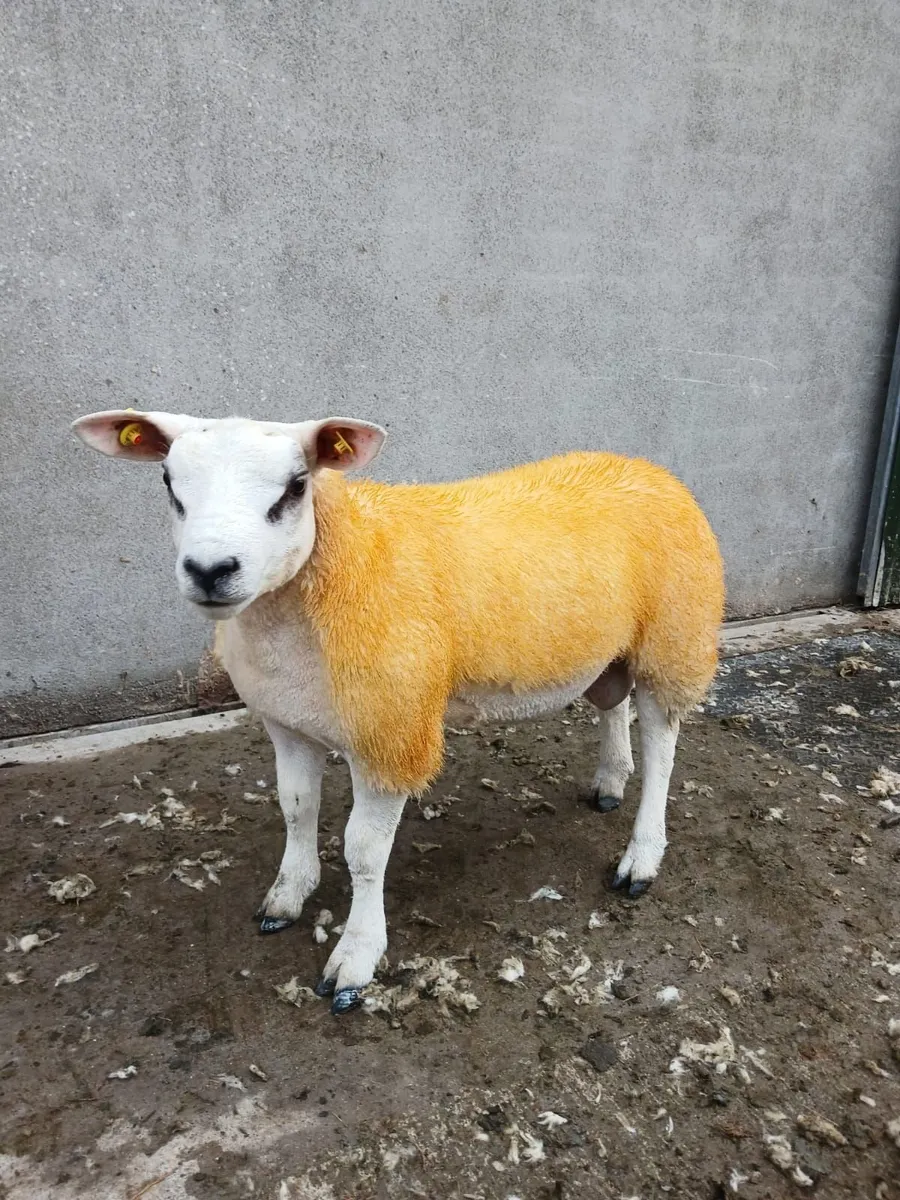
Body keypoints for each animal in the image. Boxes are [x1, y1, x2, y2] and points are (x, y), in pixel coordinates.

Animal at [72, 408, 725, 1014]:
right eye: (168, 481)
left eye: (296, 486)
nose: (210, 570)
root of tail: (645, 467)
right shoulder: (288, 722)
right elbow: (296, 809)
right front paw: (288, 894)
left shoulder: (390, 730)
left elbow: (364, 852)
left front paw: (355, 959)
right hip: (611, 645)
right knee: (611, 704)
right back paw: (611, 779)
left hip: (676, 636)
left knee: (662, 747)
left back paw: (641, 856)